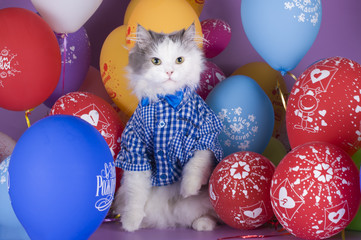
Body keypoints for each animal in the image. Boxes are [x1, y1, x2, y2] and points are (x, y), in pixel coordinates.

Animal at [112, 23, 224, 232]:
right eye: (156, 61)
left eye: (179, 60)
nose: (170, 72)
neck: (167, 101)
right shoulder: (135, 151)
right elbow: (135, 193)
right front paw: (130, 223)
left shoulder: (204, 136)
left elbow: (195, 166)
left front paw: (188, 189)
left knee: (213, 216)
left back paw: (202, 224)